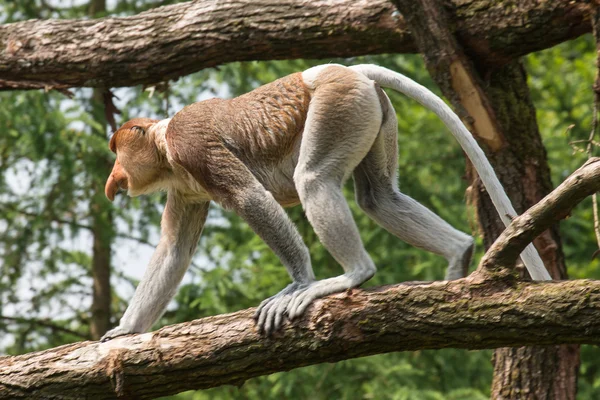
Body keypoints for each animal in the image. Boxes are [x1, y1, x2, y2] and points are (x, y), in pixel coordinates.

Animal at [102, 65, 548, 340]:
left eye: (117, 149)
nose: (112, 180)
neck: (163, 142)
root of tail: (347, 70)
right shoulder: (185, 188)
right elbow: (174, 248)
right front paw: (125, 330)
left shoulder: (193, 145)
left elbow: (251, 198)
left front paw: (300, 282)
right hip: (372, 112)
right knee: (378, 197)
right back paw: (458, 255)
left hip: (338, 106)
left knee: (313, 180)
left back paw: (350, 275)